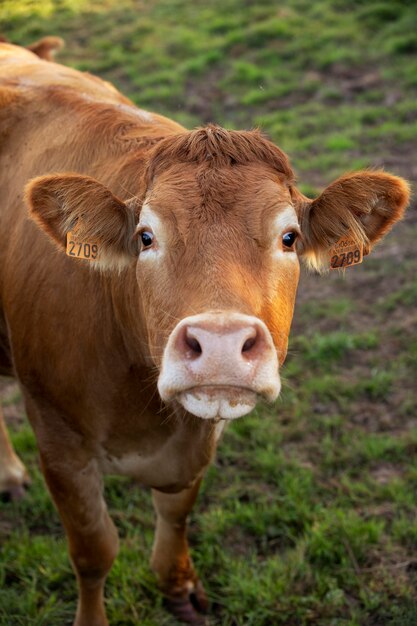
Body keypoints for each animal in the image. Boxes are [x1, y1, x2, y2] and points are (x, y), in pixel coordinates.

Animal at [0, 37, 410, 624]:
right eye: (146, 237)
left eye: (289, 237)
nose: (219, 346)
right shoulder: (58, 442)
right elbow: (93, 549)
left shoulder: (197, 443)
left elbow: (177, 511)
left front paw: (178, 585)